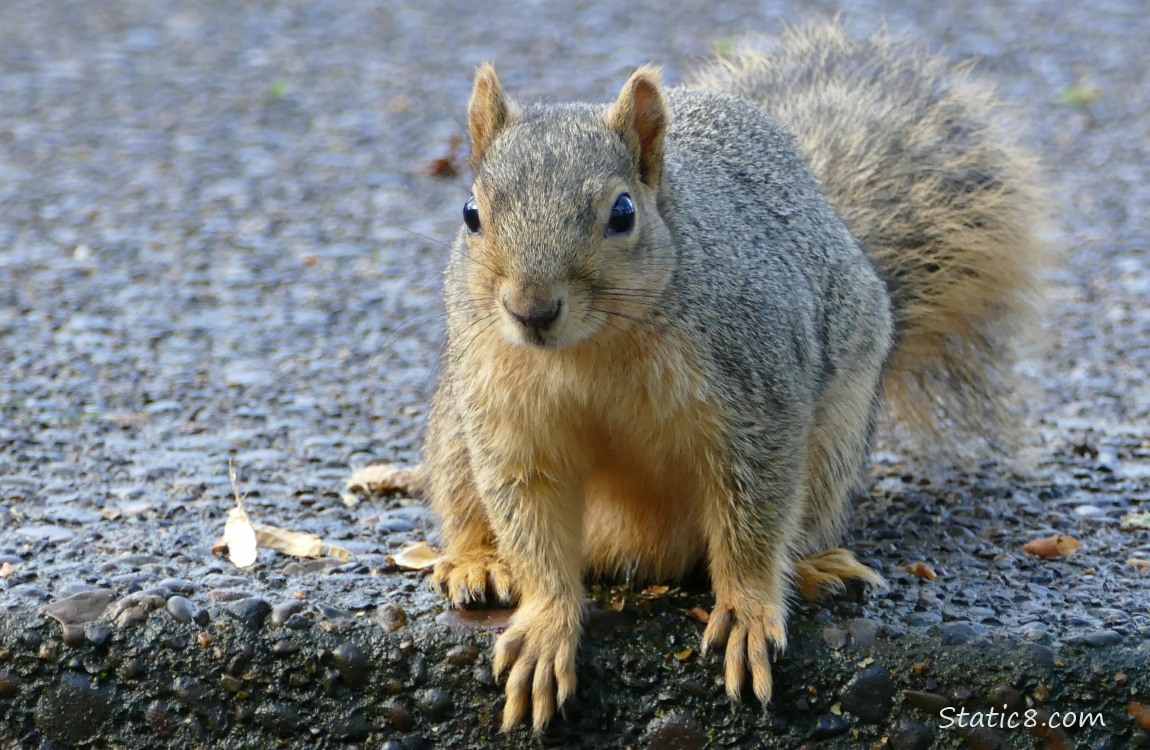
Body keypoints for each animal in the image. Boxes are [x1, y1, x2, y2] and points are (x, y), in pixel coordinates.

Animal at [354, 21, 1048, 731]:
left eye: (623, 213)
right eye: (471, 212)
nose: (532, 310)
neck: (590, 349)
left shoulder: (758, 396)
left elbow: (753, 522)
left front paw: (745, 610)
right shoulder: (509, 419)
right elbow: (535, 530)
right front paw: (546, 626)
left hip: (833, 447)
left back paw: (813, 569)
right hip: (456, 423)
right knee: (470, 504)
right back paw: (477, 562)